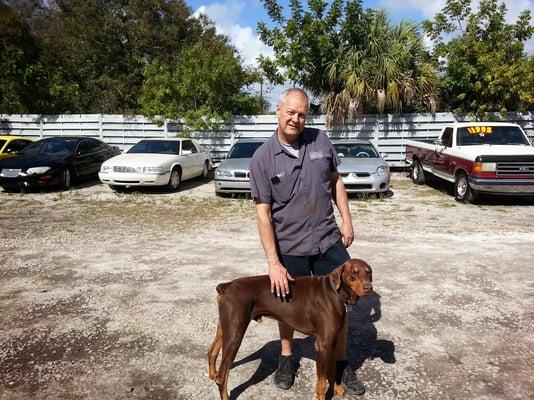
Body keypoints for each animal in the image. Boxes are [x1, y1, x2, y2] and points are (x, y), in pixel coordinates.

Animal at [207, 260, 374, 400]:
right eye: (354, 272)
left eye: (369, 272)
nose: (369, 288)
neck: (336, 292)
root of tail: (226, 286)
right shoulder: (322, 345)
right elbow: (321, 382)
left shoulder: (331, 342)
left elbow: (331, 371)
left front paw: (337, 389)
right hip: (235, 334)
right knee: (222, 376)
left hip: (225, 327)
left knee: (212, 352)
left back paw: (212, 374)